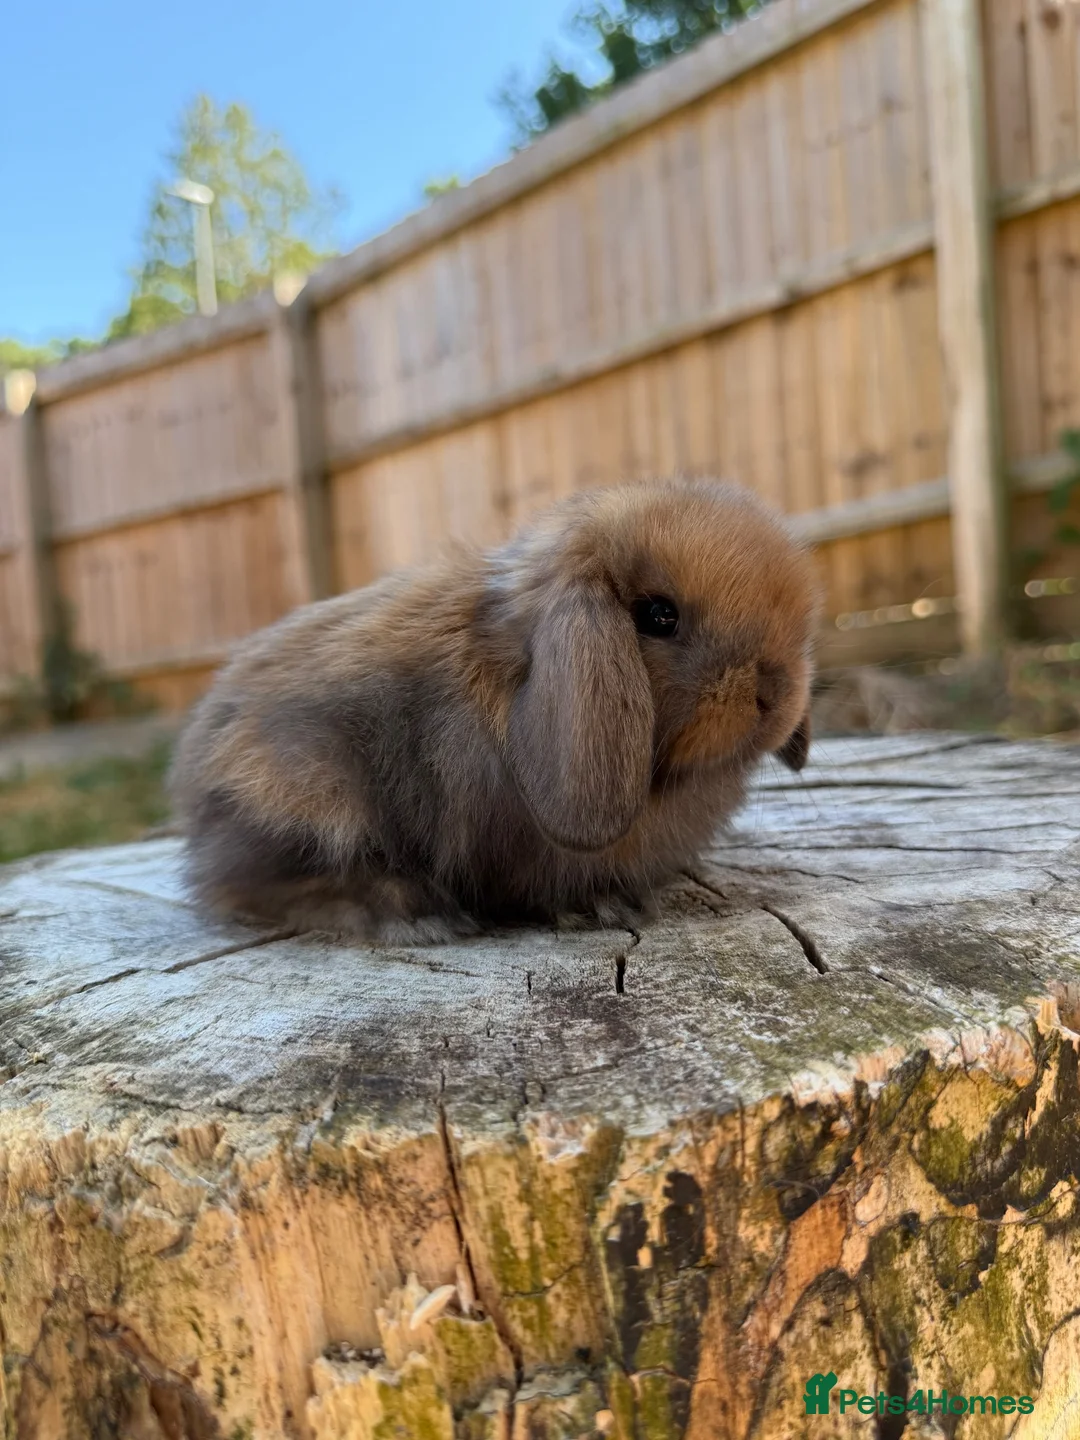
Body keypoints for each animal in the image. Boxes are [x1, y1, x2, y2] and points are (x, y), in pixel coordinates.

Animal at [169, 478, 820, 944]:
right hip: (309, 798)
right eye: (658, 616)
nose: (774, 692)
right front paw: (604, 907)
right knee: (255, 887)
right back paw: (414, 913)